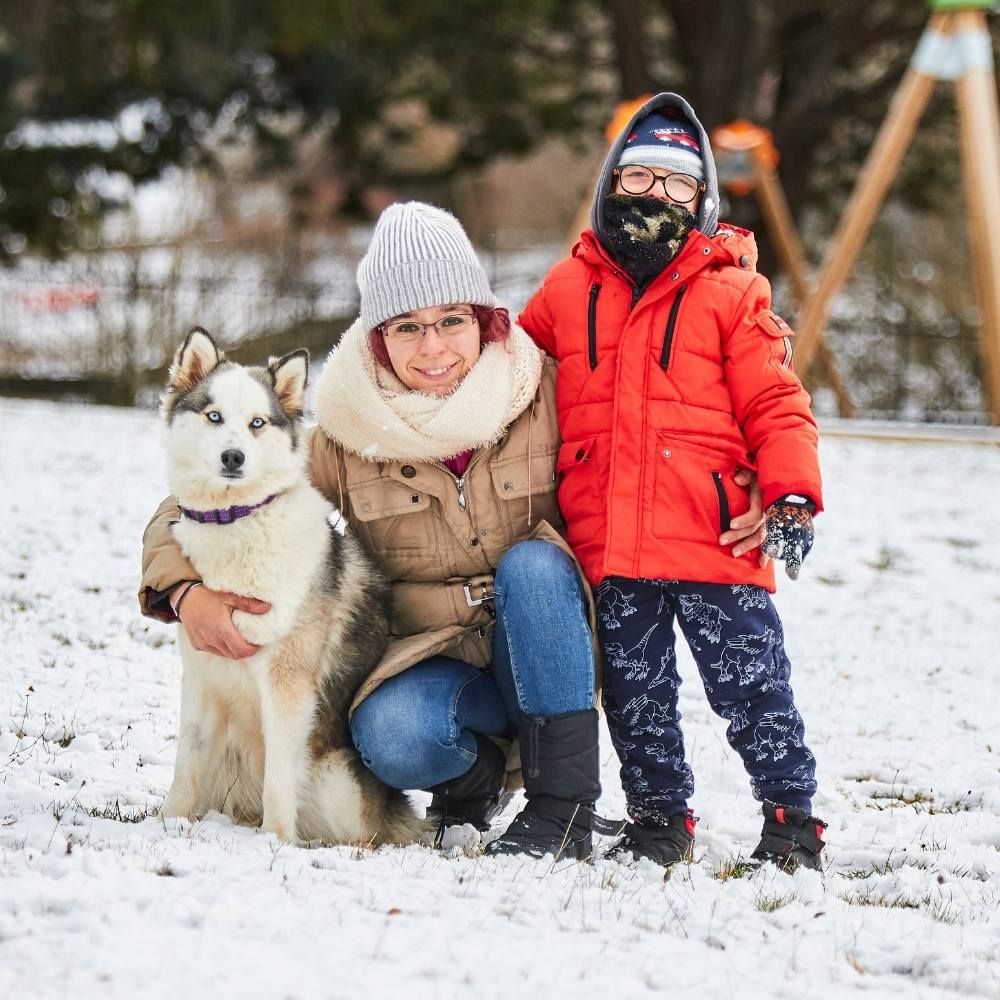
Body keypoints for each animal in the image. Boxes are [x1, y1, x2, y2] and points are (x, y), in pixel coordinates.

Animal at [159, 328, 422, 844]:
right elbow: (186, 764)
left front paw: (276, 841)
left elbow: (280, 779)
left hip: (339, 782)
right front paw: (168, 822)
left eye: (258, 423)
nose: (234, 457)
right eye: (213, 416)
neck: (237, 520)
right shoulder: (200, 677)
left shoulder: (287, 685)